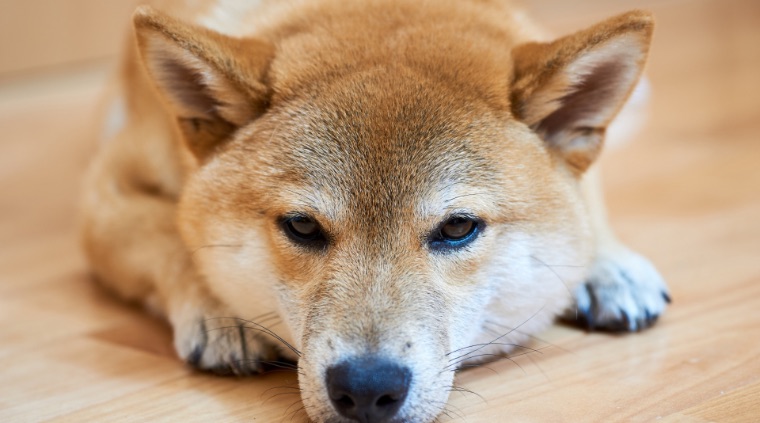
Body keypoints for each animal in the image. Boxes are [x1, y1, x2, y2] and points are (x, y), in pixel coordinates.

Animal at [80, 1, 668, 422]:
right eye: (302, 225)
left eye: (458, 227)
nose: (366, 388)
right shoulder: (107, 193)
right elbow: (169, 235)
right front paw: (219, 308)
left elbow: (587, 208)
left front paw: (609, 265)